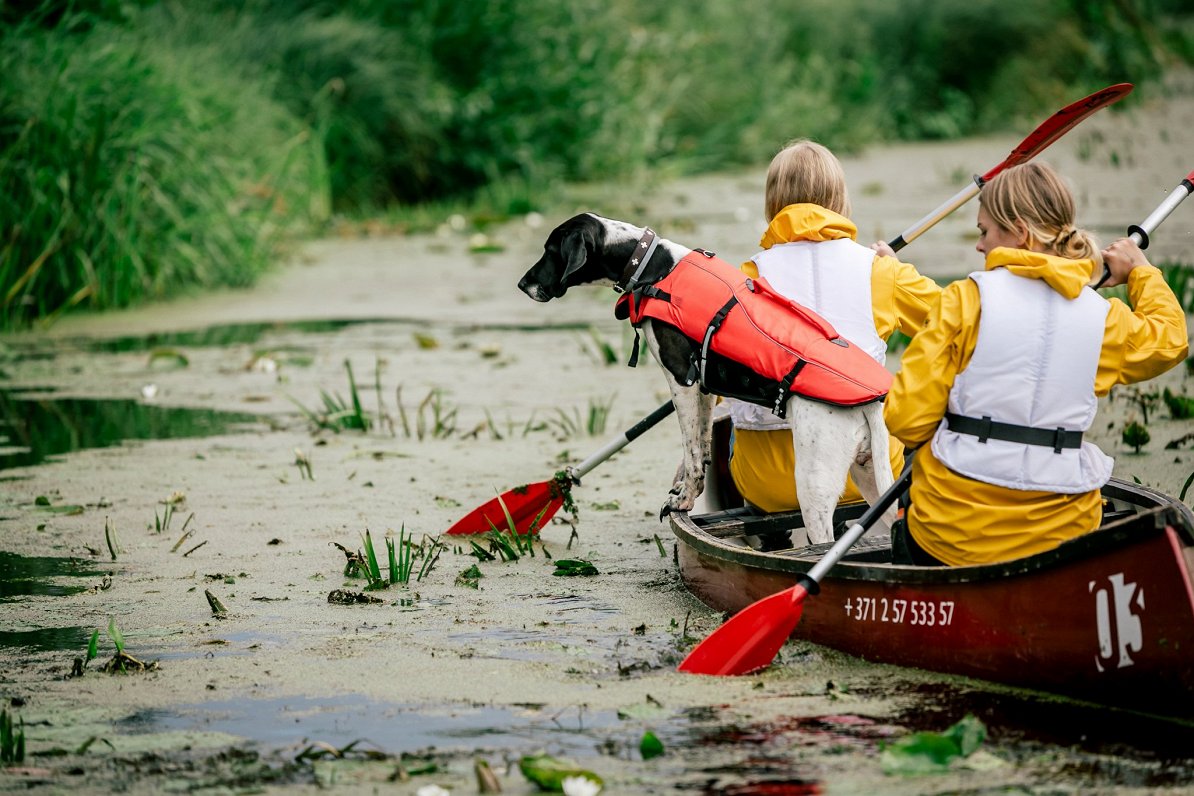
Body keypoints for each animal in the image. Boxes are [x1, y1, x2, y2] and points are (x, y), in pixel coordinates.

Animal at [518, 214, 893, 544]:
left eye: (551, 250)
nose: (522, 285)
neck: (652, 265)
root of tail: (870, 404)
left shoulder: (680, 380)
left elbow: (691, 447)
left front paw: (683, 500)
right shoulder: (705, 386)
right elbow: (700, 441)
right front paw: (689, 488)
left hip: (814, 485)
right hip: (871, 480)